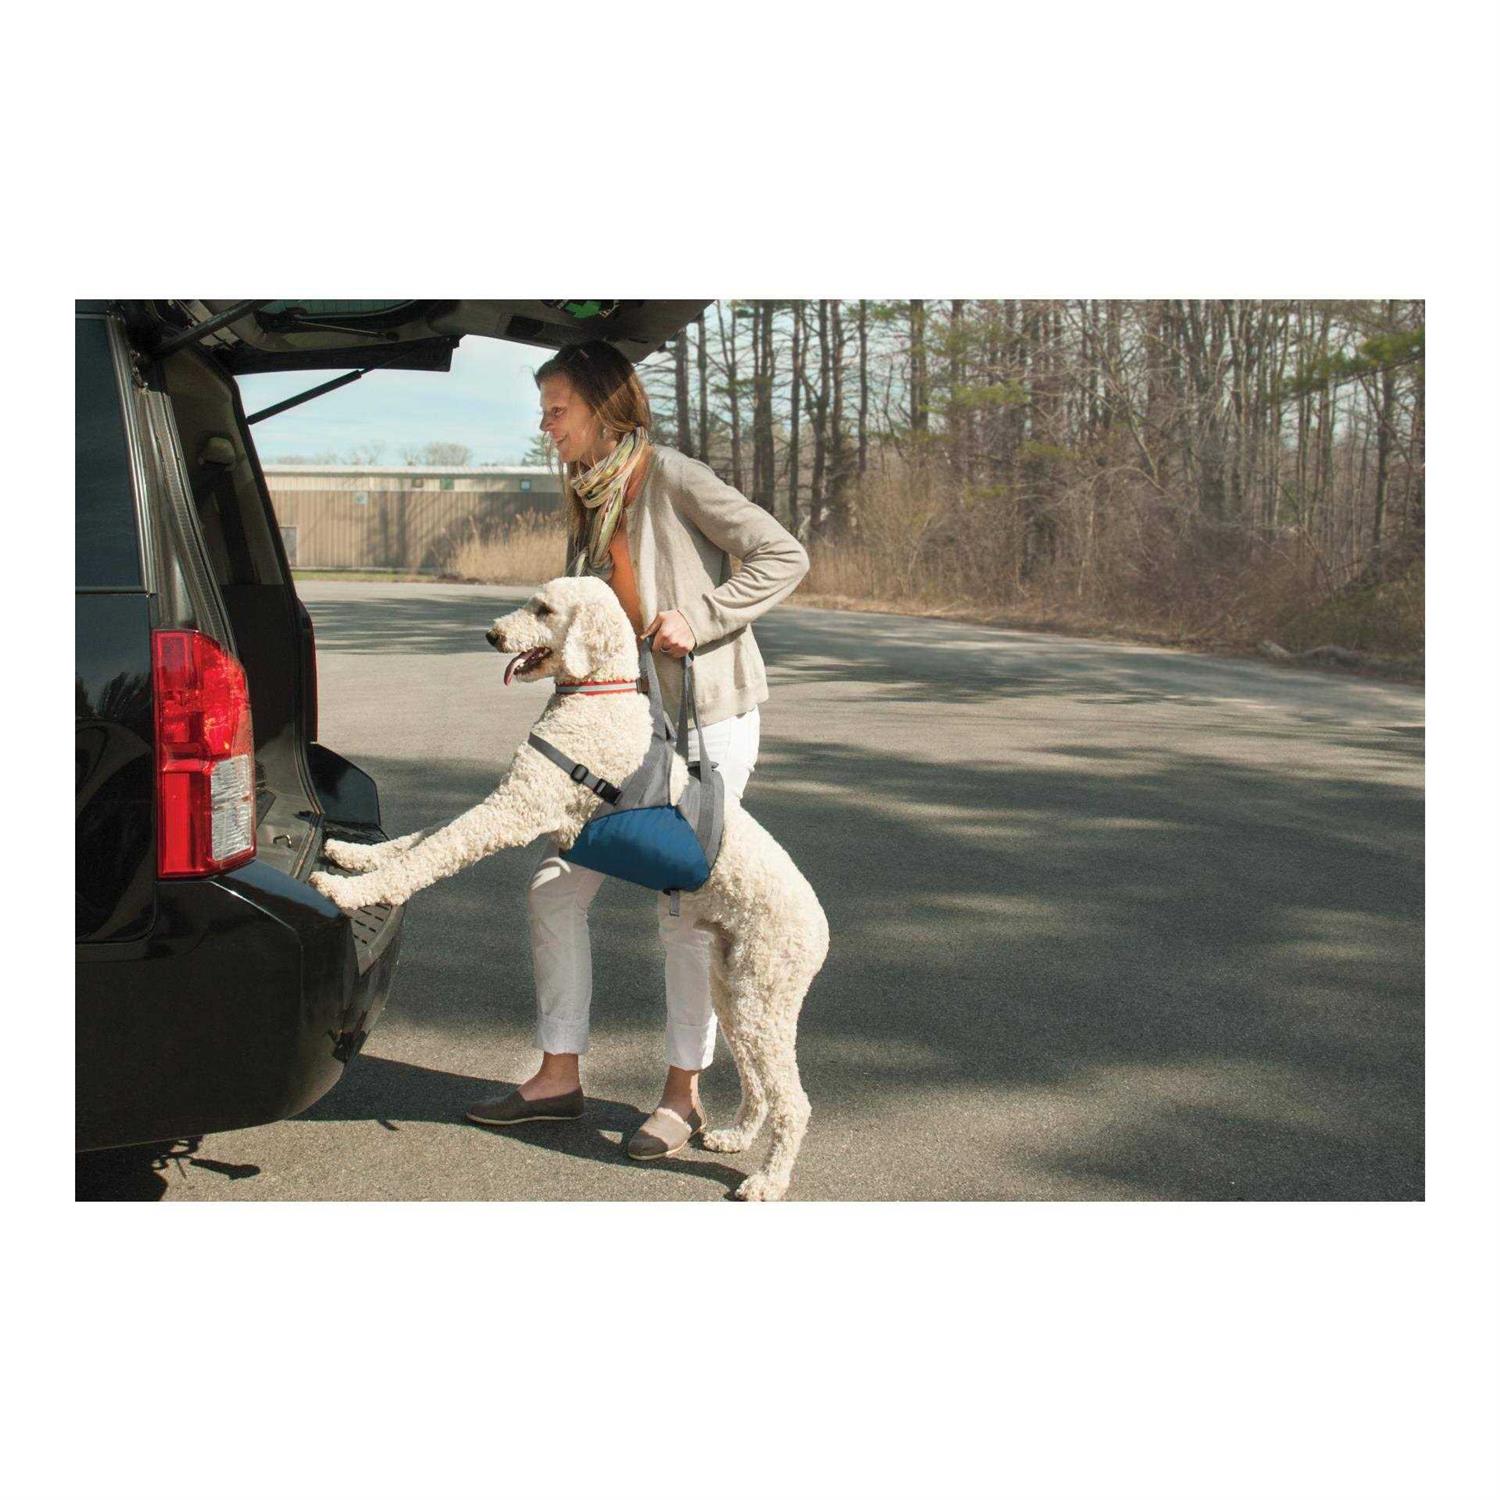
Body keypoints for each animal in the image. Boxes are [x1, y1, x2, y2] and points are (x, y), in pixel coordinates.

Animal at [310, 575, 830, 1202]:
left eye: (544, 609)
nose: (493, 635)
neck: (597, 696)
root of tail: (822, 929)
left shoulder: (514, 810)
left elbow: (435, 851)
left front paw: (350, 892)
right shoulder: (511, 798)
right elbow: (423, 836)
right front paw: (352, 857)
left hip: (762, 996)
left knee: (794, 1101)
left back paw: (767, 1181)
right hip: (737, 993)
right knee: (759, 1082)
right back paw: (734, 1137)